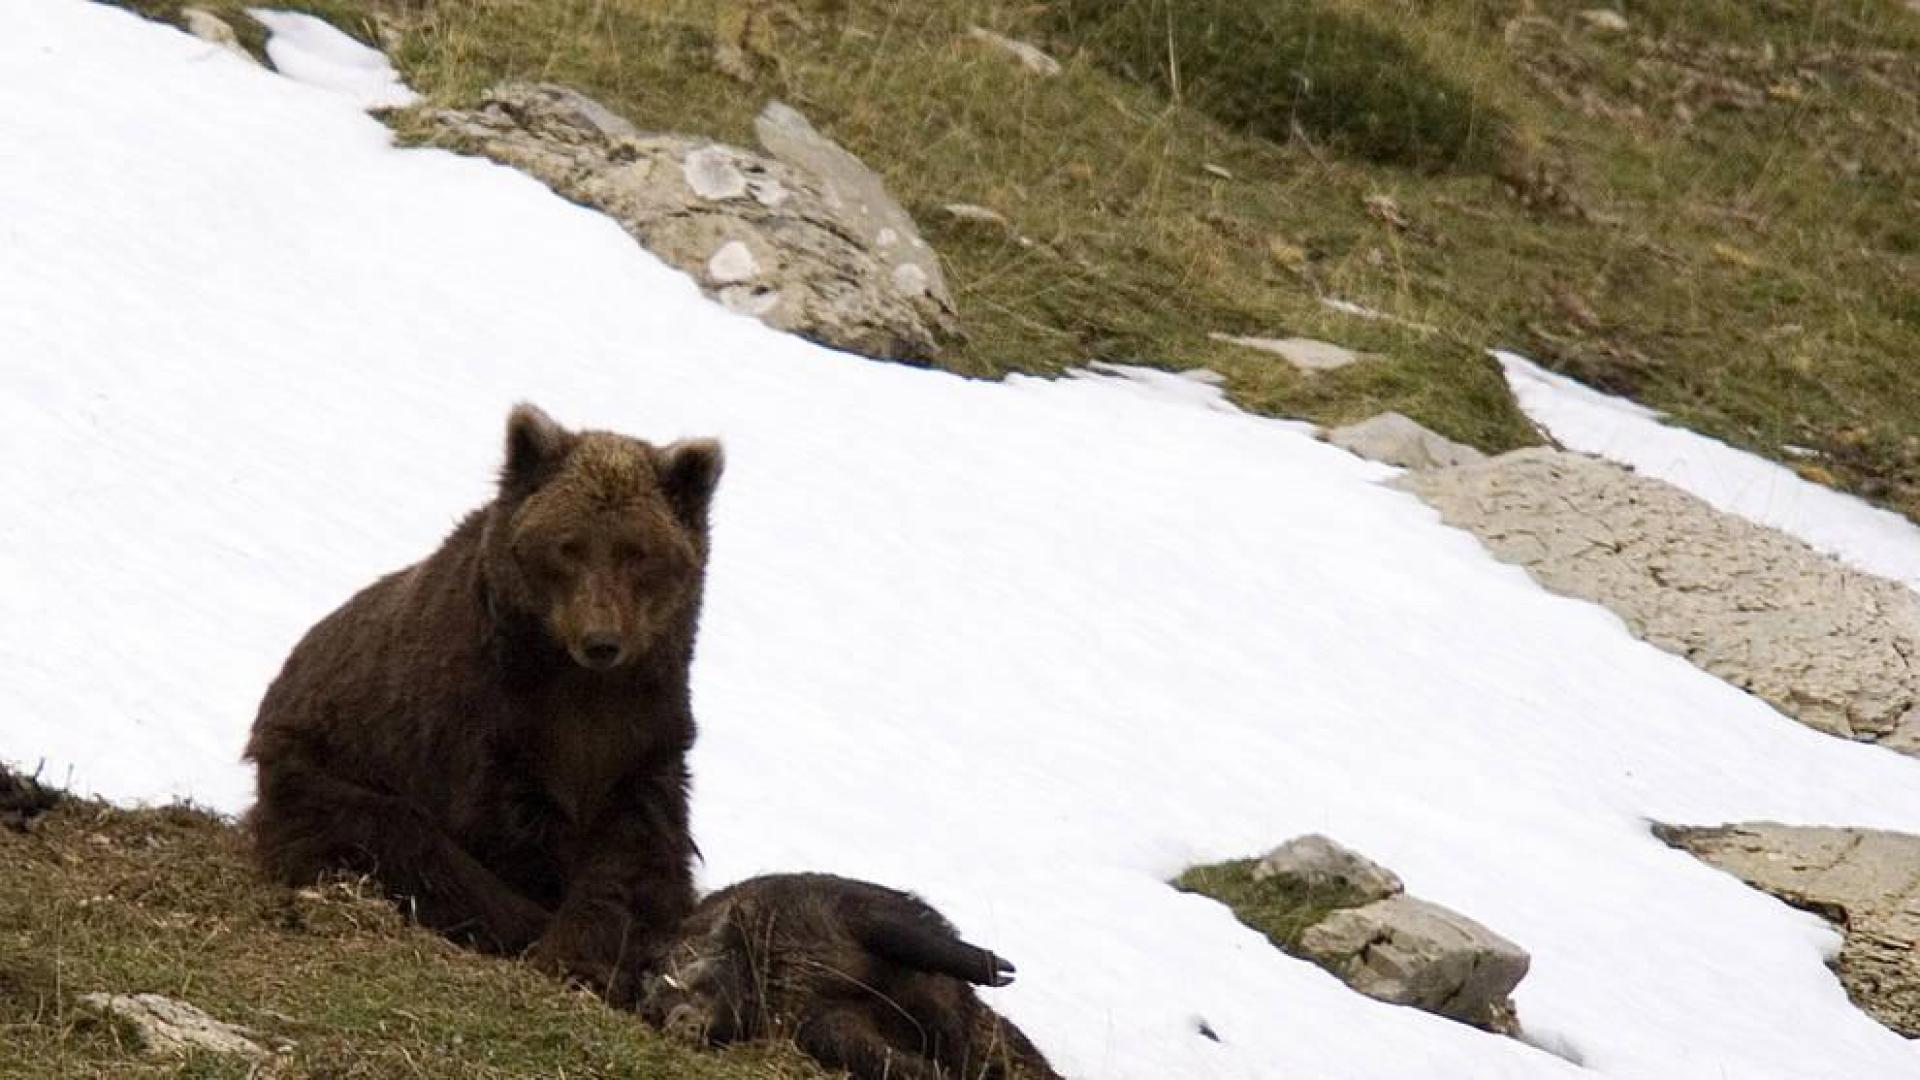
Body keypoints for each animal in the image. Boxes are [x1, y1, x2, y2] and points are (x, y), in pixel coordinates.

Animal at [244, 403, 723, 1002]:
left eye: (637, 552)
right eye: (569, 545)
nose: (601, 640)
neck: (576, 684)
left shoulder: (645, 731)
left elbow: (637, 852)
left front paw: (592, 951)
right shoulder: (487, 722)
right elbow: (507, 829)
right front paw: (554, 936)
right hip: (319, 763)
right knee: (395, 838)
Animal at [639, 873, 1061, 1080]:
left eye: (689, 969)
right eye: (653, 1008)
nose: (678, 1019)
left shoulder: (832, 915)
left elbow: (899, 933)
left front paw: (1000, 968)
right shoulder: (808, 1017)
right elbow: (863, 1050)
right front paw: (932, 1070)